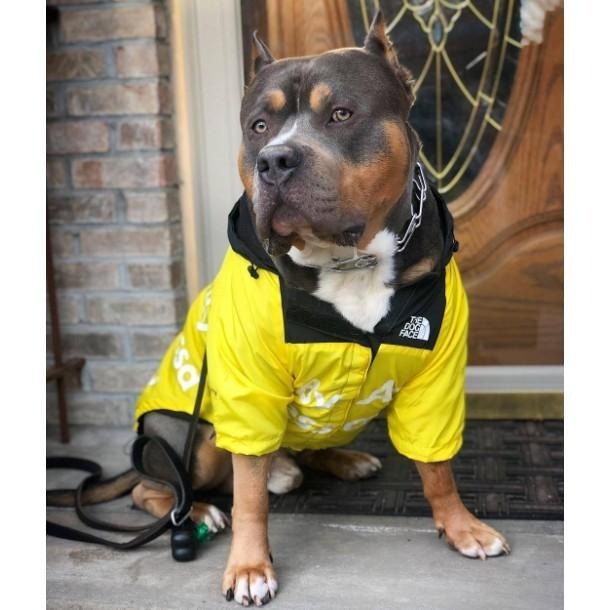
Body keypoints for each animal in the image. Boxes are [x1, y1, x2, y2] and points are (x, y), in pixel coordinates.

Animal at [129, 11, 508, 604]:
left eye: (341, 114)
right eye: (259, 126)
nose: (275, 160)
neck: (350, 261)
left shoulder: (436, 381)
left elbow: (438, 466)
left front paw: (461, 525)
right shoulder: (248, 391)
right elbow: (251, 496)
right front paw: (249, 566)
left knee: (302, 450)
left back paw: (336, 460)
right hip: (193, 437)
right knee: (157, 488)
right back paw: (200, 509)